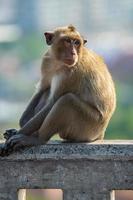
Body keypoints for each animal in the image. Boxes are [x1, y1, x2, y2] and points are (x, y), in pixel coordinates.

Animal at [0, 25, 115, 155]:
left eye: (76, 43)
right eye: (67, 41)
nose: (73, 53)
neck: (58, 62)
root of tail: (101, 134)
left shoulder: (72, 73)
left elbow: (53, 103)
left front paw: (19, 134)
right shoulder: (46, 61)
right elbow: (42, 88)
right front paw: (18, 128)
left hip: (88, 127)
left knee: (66, 101)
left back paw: (38, 138)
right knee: (49, 91)